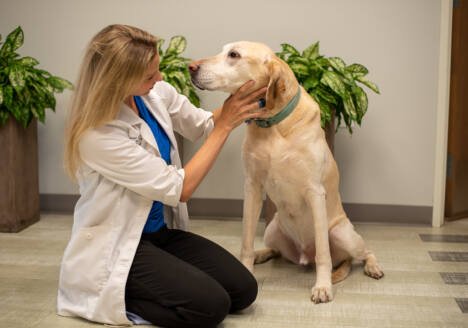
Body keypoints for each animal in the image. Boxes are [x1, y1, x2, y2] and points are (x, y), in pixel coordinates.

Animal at [188, 41, 382, 304]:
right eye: (224, 50)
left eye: (234, 55)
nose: (191, 67)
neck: (273, 124)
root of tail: (304, 255)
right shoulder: (252, 187)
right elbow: (246, 242)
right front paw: (247, 267)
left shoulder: (315, 193)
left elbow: (323, 253)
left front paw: (323, 287)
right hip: (272, 229)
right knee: (276, 250)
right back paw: (261, 254)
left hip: (343, 234)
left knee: (363, 252)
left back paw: (372, 266)